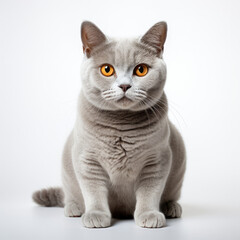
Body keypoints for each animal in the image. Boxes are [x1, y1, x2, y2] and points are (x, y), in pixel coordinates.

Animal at [32, 21, 186, 229]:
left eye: (141, 70)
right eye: (107, 69)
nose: (124, 86)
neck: (121, 125)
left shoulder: (157, 160)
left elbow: (149, 192)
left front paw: (149, 215)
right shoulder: (87, 160)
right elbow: (94, 192)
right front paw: (96, 215)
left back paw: (171, 208)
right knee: (69, 195)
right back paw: (73, 208)